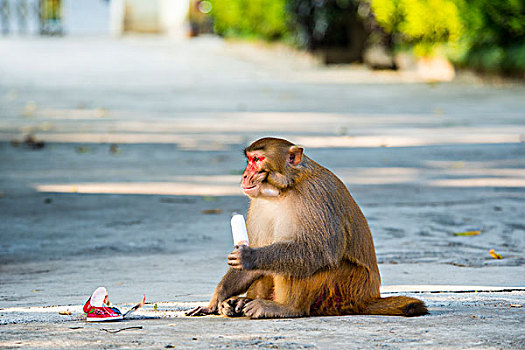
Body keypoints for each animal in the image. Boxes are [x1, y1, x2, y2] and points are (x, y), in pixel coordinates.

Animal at [186, 138, 428, 318]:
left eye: (257, 160)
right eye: (249, 160)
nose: (245, 175)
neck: (284, 189)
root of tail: (368, 298)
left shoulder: (316, 195)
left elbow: (320, 250)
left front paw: (249, 257)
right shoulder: (258, 203)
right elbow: (258, 248)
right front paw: (216, 300)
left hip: (348, 289)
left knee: (310, 262)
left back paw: (286, 308)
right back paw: (241, 302)